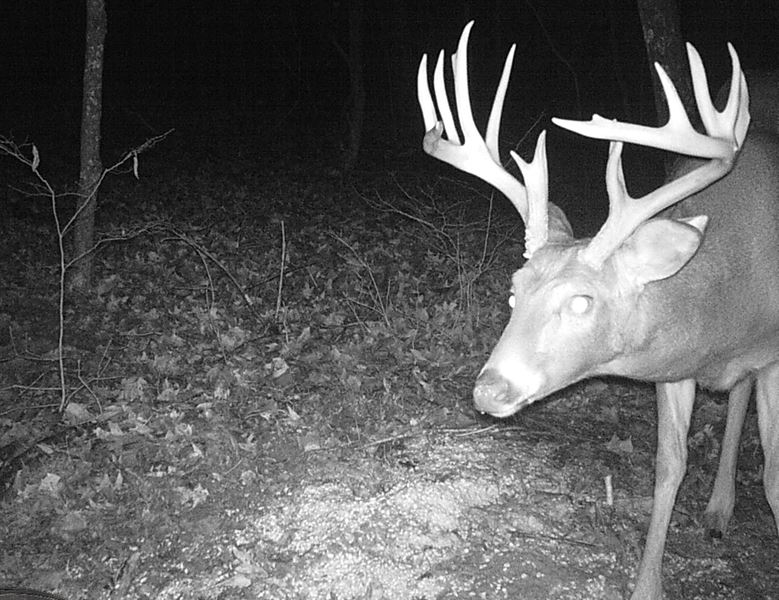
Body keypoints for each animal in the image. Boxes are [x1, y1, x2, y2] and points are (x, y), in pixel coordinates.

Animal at [417, 21, 779, 600]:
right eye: (514, 292)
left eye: (582, 301)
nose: (488, 390)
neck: (730, 297)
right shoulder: (675, 369)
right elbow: (669, 466)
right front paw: (647, 585)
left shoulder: (772, 356)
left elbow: (771, 474)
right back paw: (719, 510)